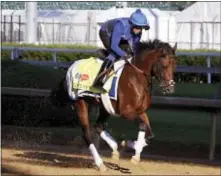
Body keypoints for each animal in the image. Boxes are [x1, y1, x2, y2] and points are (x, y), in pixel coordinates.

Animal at [50, 38, 176, 172]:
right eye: (164, 65)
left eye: (174, 65)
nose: (170, 89)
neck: (137, 78)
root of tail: (70, 68)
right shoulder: (126, 112)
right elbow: (142, 126)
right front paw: (131, 146)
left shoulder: (140, 111)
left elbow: (150, 134)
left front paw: (134, 152)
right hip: (80, 103)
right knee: (87, 133)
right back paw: (100, 163)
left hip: (104, 107)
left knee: (98, 126)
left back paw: (114, 148)